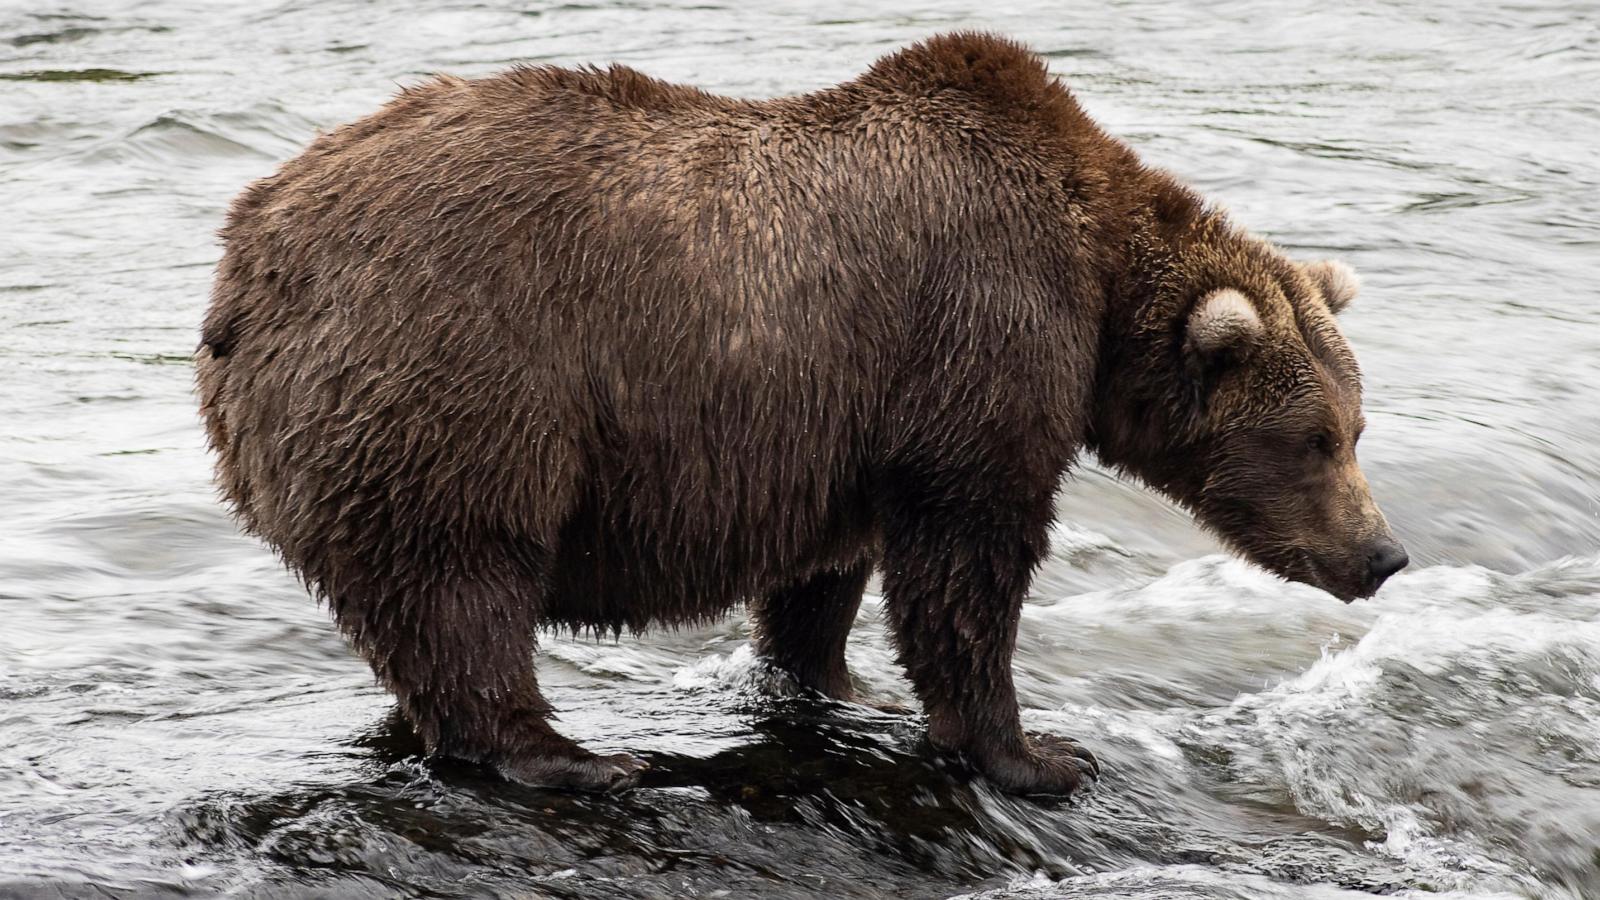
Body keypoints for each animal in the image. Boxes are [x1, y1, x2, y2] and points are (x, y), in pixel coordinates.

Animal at [195, 31, 1407, 795]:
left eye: (1356, 429)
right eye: (1315, 440)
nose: (1384, 553)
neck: (1098, 279)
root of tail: (244, 263)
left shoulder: (846, 420)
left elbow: (827, 572)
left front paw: (838, 683)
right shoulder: (984, 336)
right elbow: (969, 562)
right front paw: (1040, 754)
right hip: (459, 373)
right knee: (465, 577)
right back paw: (573, 757)